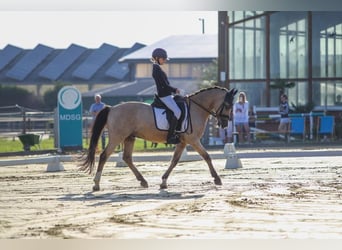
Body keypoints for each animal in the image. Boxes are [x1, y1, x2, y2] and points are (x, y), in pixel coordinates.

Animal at [79, 87, 238, 190]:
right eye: (227, 105)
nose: (224, 124)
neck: (196, 108)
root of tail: (112, 108)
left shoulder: (182, 142)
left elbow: (175, 160)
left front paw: (163, 182)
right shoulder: (193, 140)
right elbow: (207, 156)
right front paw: (217, 179)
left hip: (129, 138)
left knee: (127, 158)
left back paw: (143, 181)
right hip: (117, 137)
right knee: (104, 155)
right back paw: (96, 184)